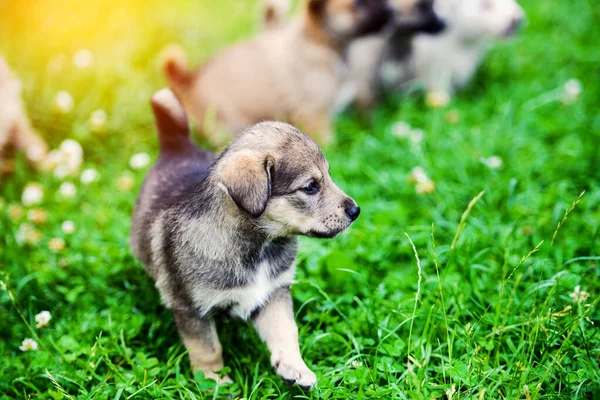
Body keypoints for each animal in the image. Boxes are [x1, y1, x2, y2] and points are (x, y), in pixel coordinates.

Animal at [130, 89, 360, 390]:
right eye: (310, 187)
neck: (259, 246)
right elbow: (208, 349)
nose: (356, 211)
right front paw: (215, 382)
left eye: (329, 176)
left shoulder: (273, 292)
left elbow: (286, 331)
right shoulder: (191, 308)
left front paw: (295, 369)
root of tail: (177, 145)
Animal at [162, 0, 394, 147]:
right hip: (226, 124)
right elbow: (327, 141)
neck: (318, 42)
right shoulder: (314, 114)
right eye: (358, 5)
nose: (392, 12)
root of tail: (190, 79)